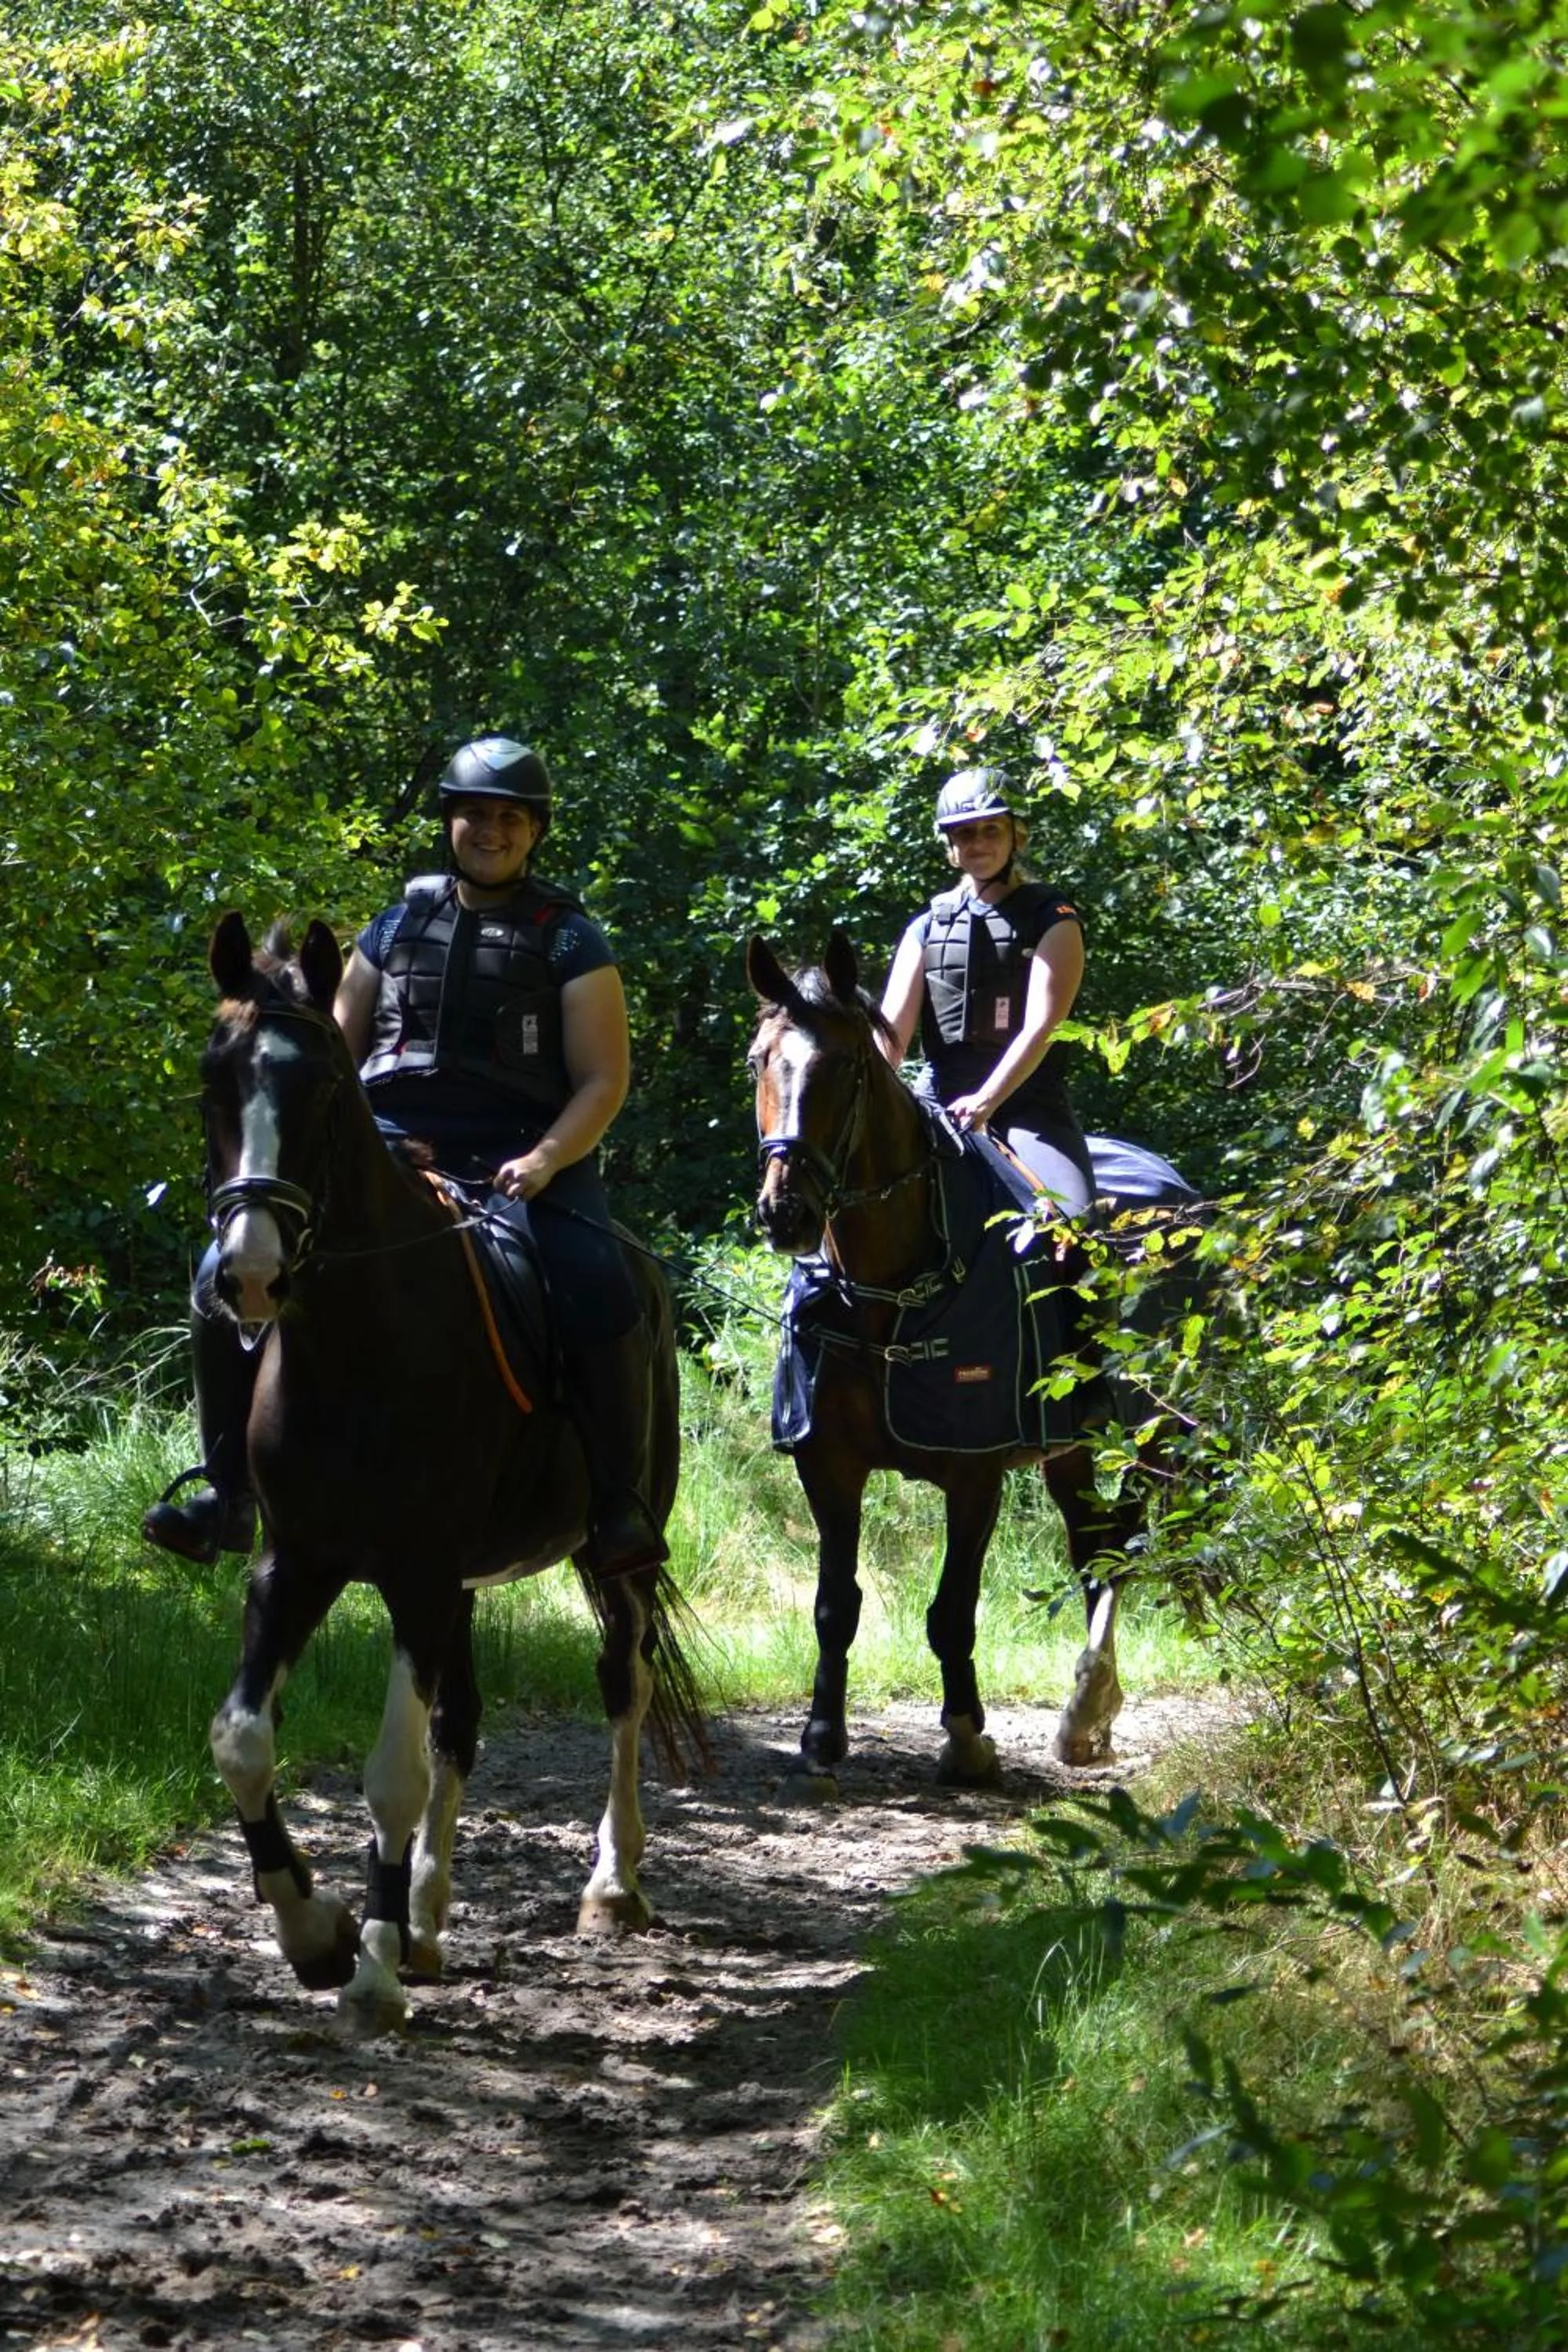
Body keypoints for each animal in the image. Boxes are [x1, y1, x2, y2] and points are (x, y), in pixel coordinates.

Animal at [182, 912, 703, 2032]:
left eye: (325, 1092)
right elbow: (242, 1739)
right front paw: (319, 1932)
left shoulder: (415, 1574)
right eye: (213, 1082)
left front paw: (368, 1971)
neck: (357, 1345)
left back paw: (610, 1888)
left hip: (614, 1559)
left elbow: (393, 1775)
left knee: (624, 1684)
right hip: (458, 1585)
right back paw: (423, 1919)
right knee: (461, 1726)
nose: (250, 1275)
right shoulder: (298, 1563)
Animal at [746, 929, 1199, 1785]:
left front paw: (964, 1737)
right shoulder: (828, 1465)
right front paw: (822, 1734)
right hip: (1072, 1448)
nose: (785, 1211)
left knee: (1124, 1543)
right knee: (1093, 1544)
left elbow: (951, 1612)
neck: (888, 1289)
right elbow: (835, 1604)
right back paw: (1087, 1712)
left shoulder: (975, 1472)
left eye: (846, 1067)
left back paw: (1086, 1706)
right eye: (760, 1059)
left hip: (1151, 1432)